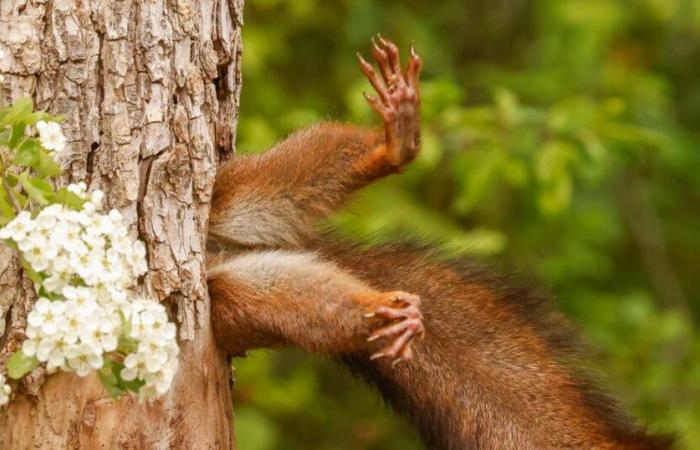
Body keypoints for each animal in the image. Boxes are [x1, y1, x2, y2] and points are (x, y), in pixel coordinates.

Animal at [204, 37, 672, 448]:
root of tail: (221, 251)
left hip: (231, 191)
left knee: (288, 178)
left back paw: (394, 145)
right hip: (233, 301)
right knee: (297, 305)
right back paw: (382, 314)